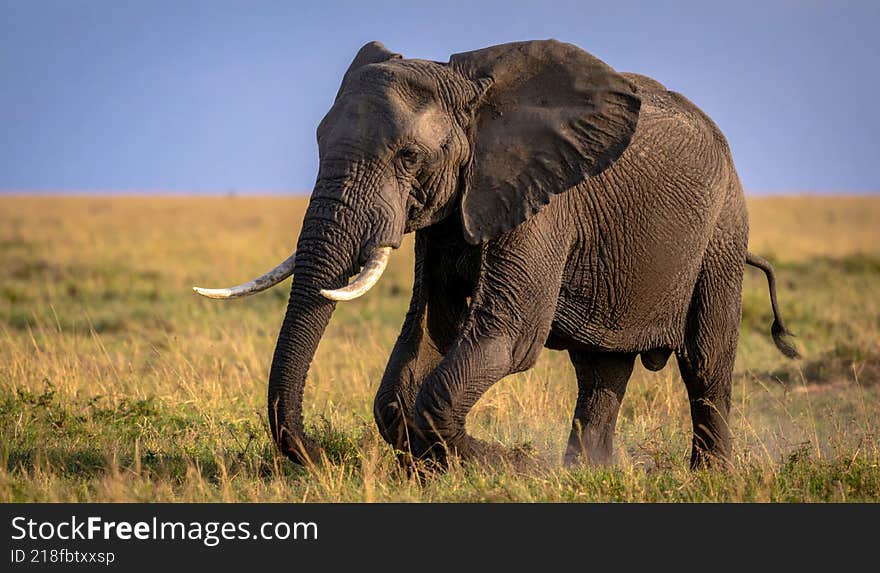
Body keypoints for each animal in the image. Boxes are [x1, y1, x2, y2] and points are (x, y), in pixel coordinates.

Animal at [194, 39, 799, 469]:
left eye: (409, 156)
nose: (319, 456)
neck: (468, 89)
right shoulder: (450, 210)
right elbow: (430, 333)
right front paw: (458, 466)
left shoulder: (544, 201)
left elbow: (508, 337)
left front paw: (508, 465)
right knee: (600, 367)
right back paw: (589, 473)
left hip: (723, 229)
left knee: (705, 362)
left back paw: (708, 475)